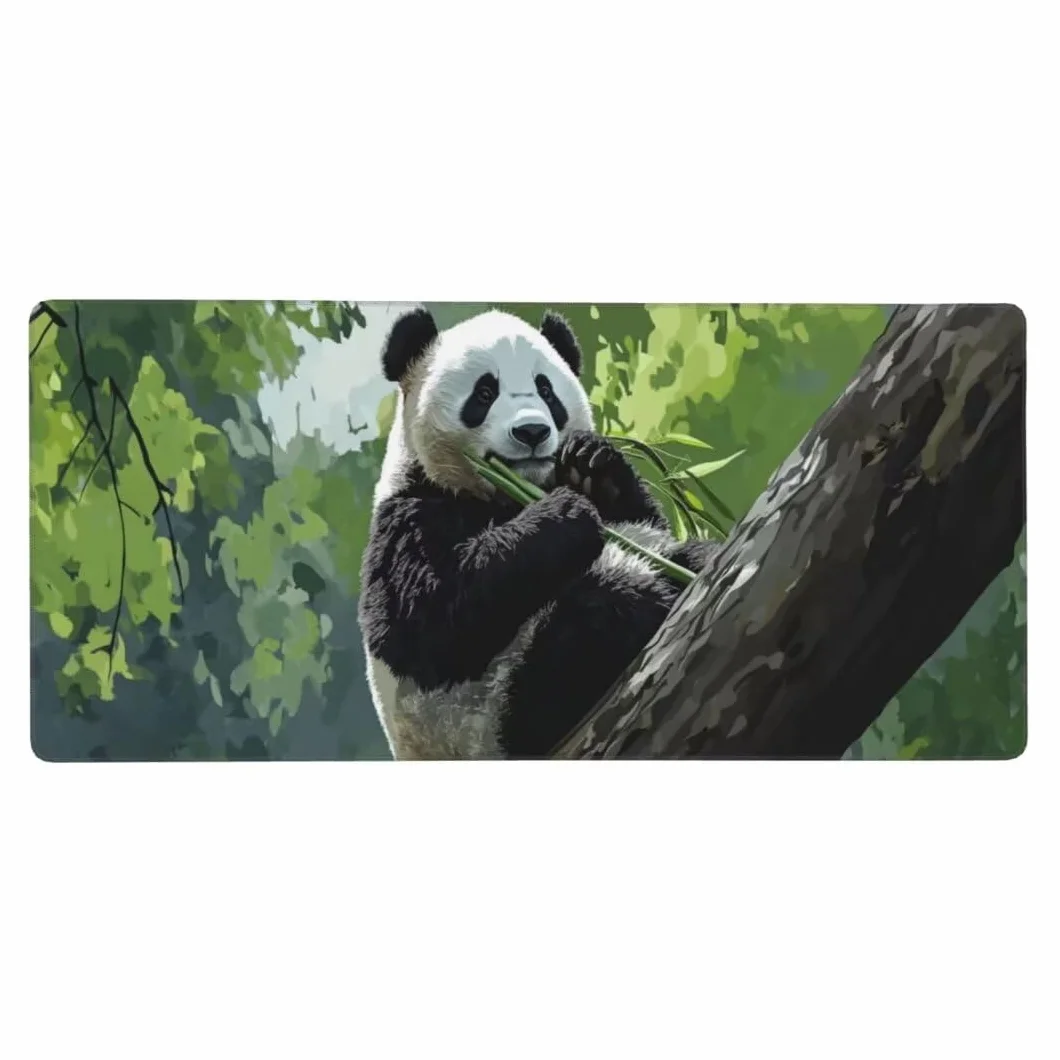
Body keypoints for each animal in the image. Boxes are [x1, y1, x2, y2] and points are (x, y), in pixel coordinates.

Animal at [357, 307, 718, 759]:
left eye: (546, 390)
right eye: (484, 393)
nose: (532, 432)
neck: (504, 495)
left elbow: (638, 517)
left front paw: (592, 465)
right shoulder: (410, 515)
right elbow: (430, 623)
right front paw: (564, 516)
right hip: (494, 712)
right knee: (595, 615)